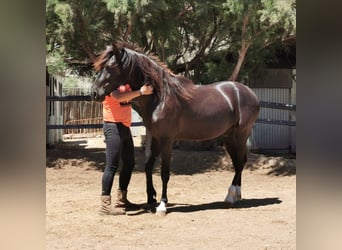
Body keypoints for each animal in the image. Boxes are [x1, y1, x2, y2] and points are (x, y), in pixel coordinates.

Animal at [91, 42, 260, 214]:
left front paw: (162, 204)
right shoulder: (155, 137)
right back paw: (234, 195)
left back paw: (232, 196)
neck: (161, 96)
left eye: (110, 67)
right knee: (238, 162)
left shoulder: (167, 140)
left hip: (240, 135)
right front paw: (151, 199)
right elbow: (148, 166)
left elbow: (164, 172)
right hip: (229, 137)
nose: (94, 93)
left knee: (240, 162)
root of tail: (249, 93)